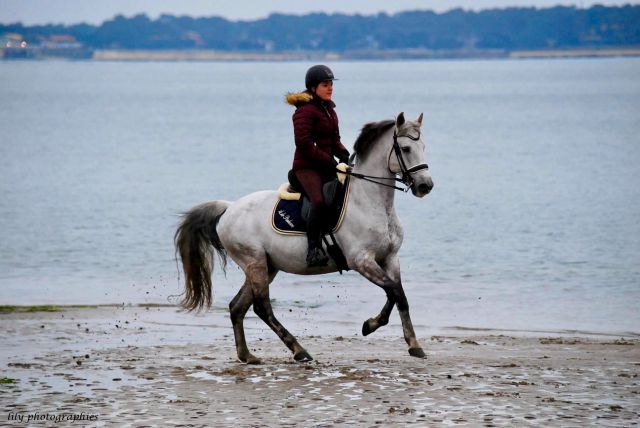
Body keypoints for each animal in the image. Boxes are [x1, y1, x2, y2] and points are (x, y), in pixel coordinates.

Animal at [175, 112, 432, 362]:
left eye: (423, 147)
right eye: (406, 149)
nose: (425, 186)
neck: (371, 202)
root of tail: (229, 208)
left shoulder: (390, 258)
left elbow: (398, 295)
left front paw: (411, 343)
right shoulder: (361, 261)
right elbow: (395, 292)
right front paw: (372, 326)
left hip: (266, 266)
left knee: (238, 306)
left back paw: (247, 355)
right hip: (254, 262)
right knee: (261, 308)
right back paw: (299, 351)